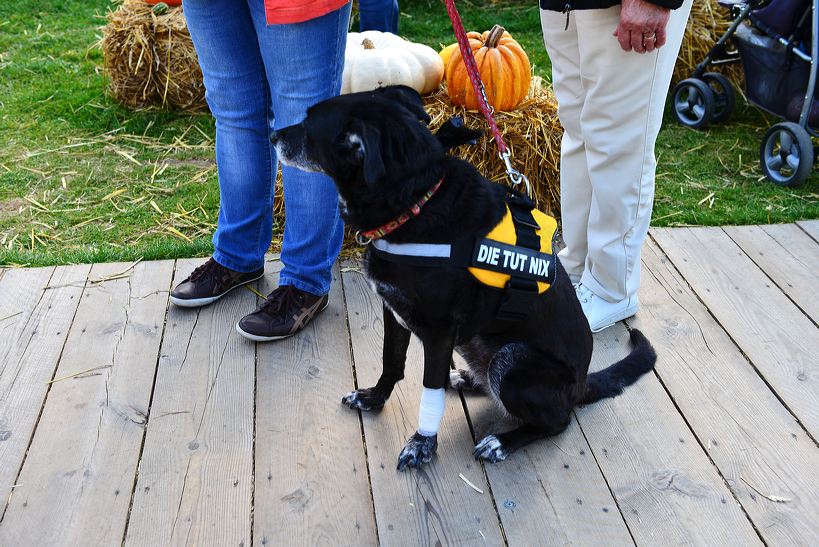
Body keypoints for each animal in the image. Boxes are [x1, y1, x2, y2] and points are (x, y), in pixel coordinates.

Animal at [272, 85, 656, 470]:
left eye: (307, 123)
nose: (273, 135)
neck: (417, 201)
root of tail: (581, 385)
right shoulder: (394, 310)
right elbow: (392, 362)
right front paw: (374, 398)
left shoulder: (439, 330)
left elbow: (429, 391)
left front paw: (422, 443)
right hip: (473, 342)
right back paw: (467, 378)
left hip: (512, 360)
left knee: (558, 421)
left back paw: (501, 441)